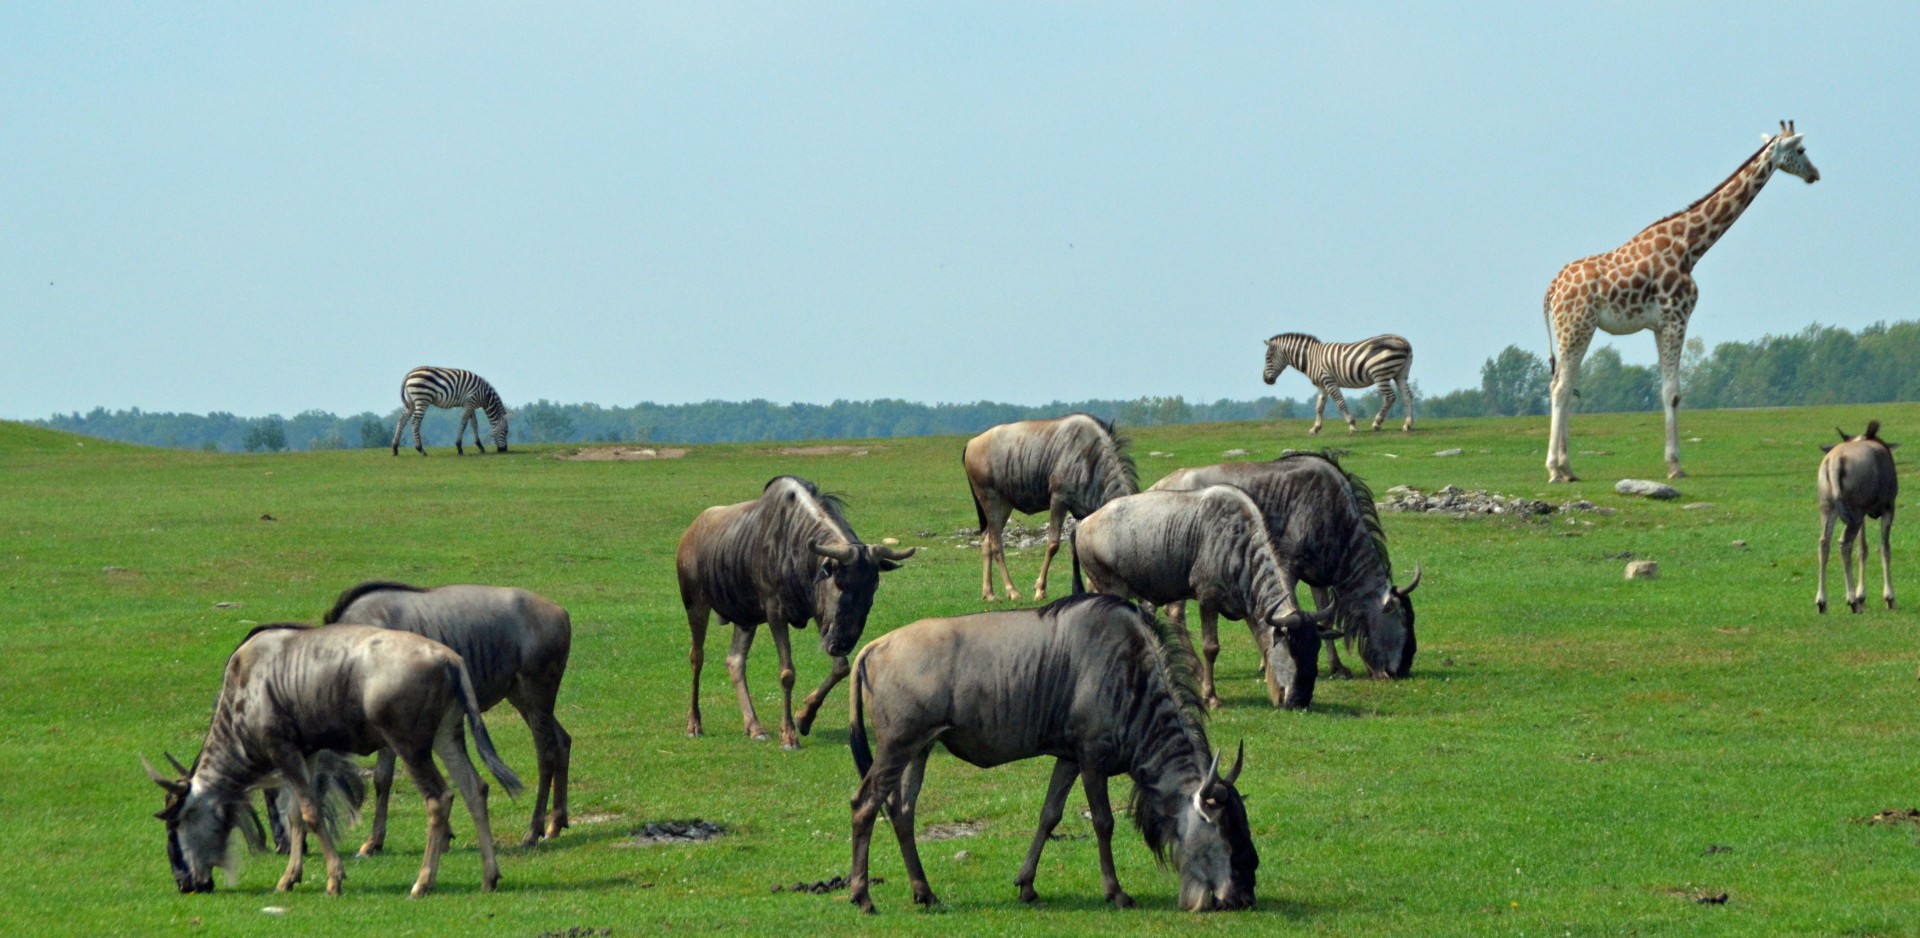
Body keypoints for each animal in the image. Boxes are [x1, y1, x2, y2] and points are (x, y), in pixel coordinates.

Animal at [1259, 331, 1413, 435]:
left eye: (1267, 358)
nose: (1266, 380)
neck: (1311, 359)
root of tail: (1403, 341)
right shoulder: (1321, 385)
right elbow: (1319, 407)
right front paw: (1315, 428)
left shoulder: (1328, 381)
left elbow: (1340, 402)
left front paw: (1352, 425)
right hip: (1401, 374)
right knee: (1407, 396)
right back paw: (1407, 424)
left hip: (1380, 374)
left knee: (1390, 397)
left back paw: (1377, 423)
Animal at [1536, 118, 1820, 483]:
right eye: (1800, 149)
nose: (1814, 174)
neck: (1691, 246)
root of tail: (1551, 290)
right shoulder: (1677, 317)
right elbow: (1672, 393)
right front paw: (1675, 466)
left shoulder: (1660, 325)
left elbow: (1665, 391)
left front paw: (1673, 463)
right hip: (1576, 327)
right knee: (1560, 387)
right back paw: (1554, 470)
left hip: (1575, 329)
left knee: (1563, 385)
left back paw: (1568, 468)